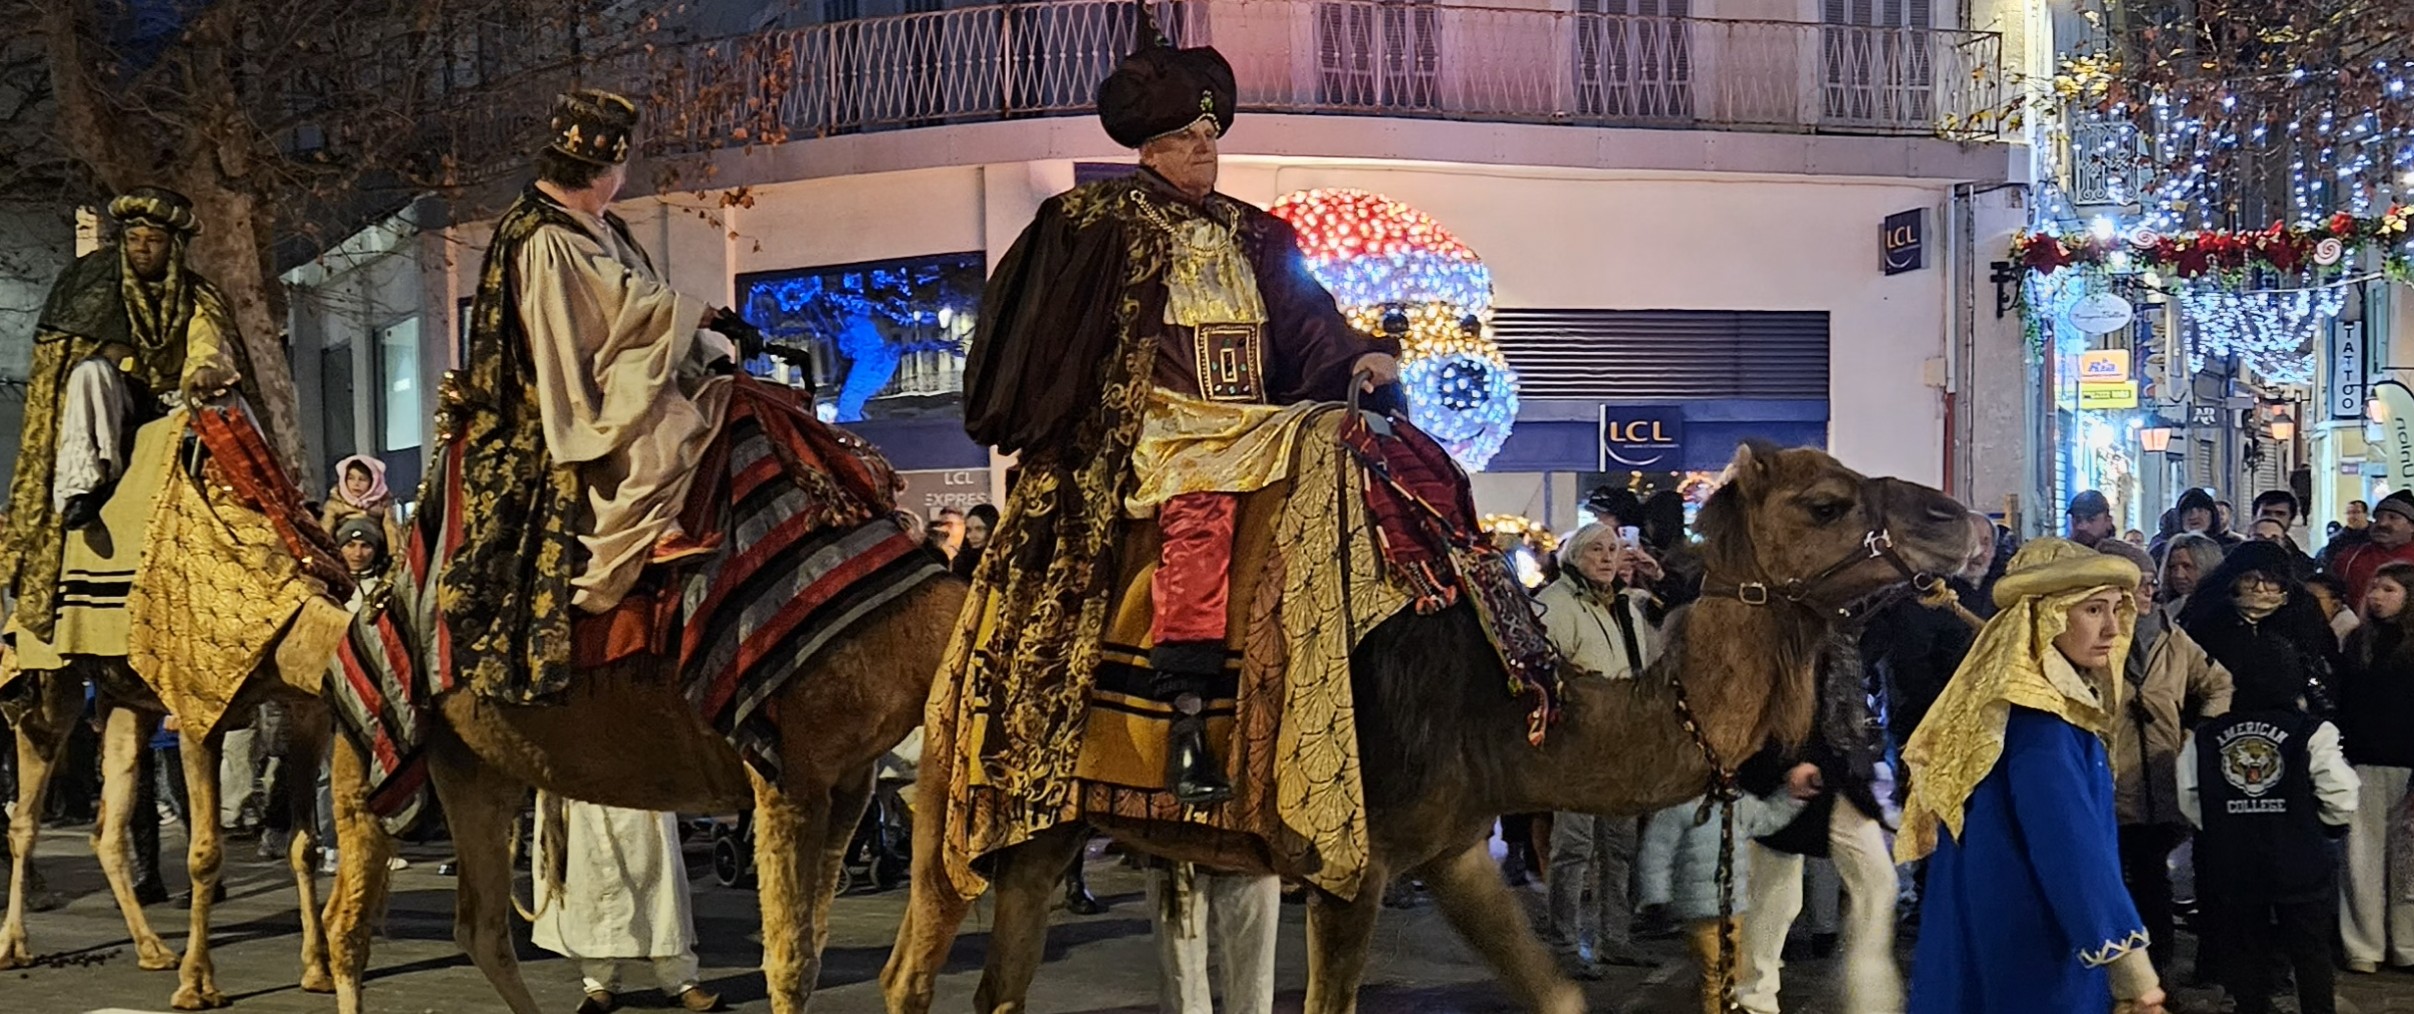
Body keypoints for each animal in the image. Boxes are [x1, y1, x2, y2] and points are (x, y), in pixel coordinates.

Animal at [0, 406, 354, 1011]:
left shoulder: (308, 714)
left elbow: (305, 845)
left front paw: (318, 970)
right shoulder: (196, 712)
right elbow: (204, 853)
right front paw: (197, 985)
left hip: (126, 702)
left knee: (108, 826)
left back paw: (151, 949)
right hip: (52, 683)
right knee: (23, 817)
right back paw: (14, 946)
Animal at [878, 442, 1973, 1014]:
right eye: (1825, 502)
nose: (1957, 520)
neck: (1508, 702)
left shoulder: (1450, 850)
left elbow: (1557, 996)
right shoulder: (1346, 864)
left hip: (1035, 832)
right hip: (967, 812)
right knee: (914, 971)